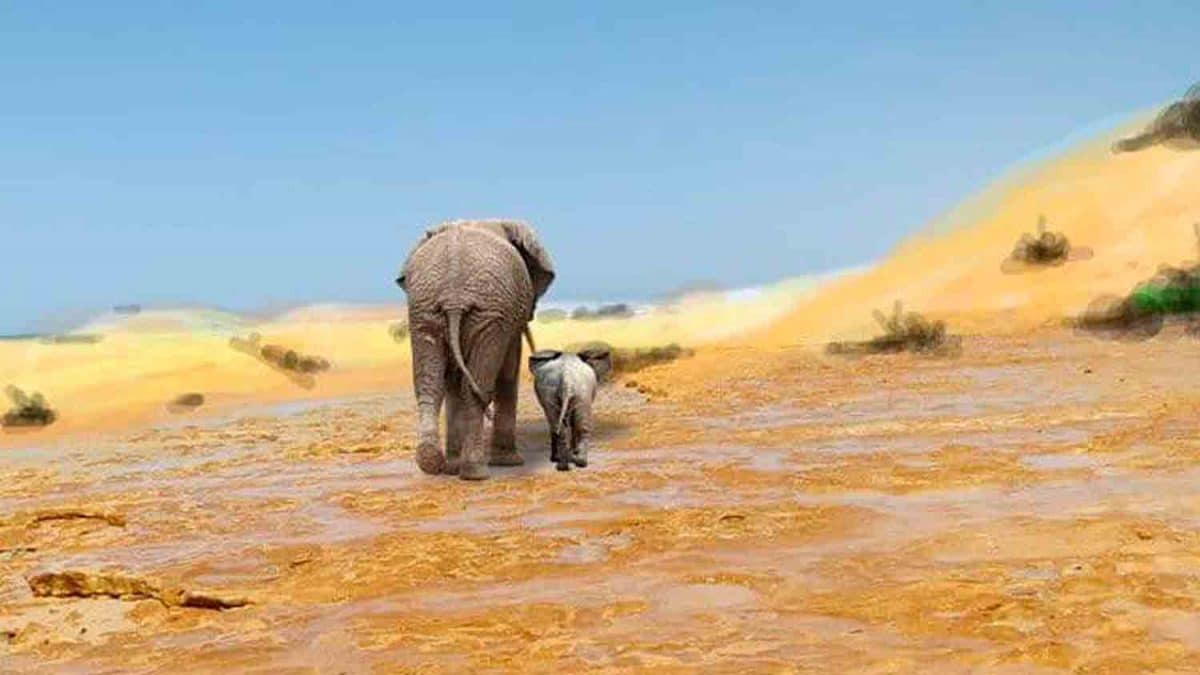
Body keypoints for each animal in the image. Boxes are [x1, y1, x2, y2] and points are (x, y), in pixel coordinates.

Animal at [398, 218, 556, 475]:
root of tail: (454, 298)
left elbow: (452, 381)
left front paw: (452, 467)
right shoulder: (507, 318)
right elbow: (508, 370)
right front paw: (509, 463)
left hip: (425, 310)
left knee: (430, 383)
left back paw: (433, 462)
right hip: (488, 314)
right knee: (478, 383)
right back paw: (476, 472)